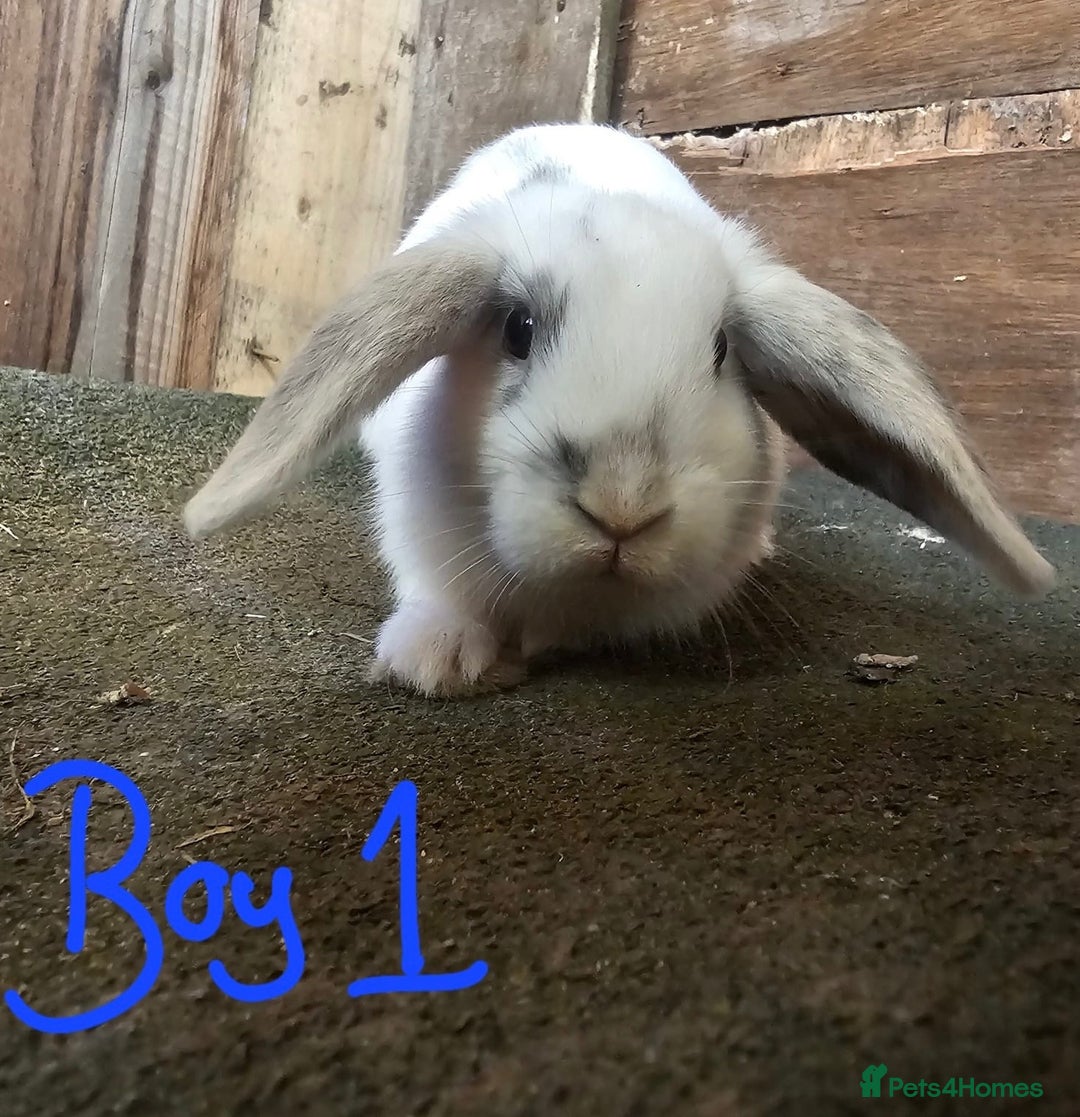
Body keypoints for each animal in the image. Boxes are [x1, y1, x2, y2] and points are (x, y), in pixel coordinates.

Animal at [183, 122, 1055, 697]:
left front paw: (529, 642)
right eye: (518, 329)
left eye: (721, 351)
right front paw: (438, 659)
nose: (622, 511)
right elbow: (435, 590)